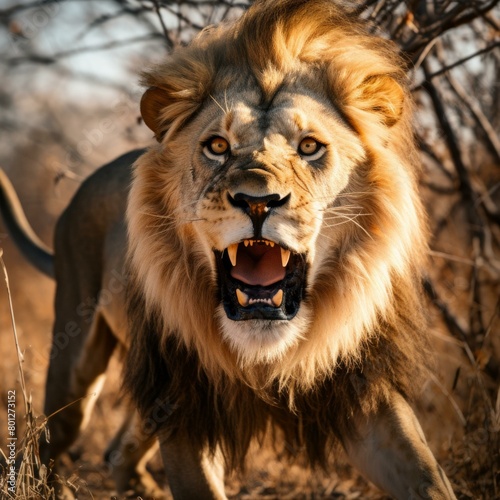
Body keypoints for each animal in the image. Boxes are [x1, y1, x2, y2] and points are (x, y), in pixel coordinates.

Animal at [0, 0, 458, 498]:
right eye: (217, 146)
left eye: (310, 146)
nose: (258, 201)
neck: (266, 353)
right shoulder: (185, 400)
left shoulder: (364, 392)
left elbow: (428, 477)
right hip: (77, 359)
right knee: (45, 442)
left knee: (117, 449)